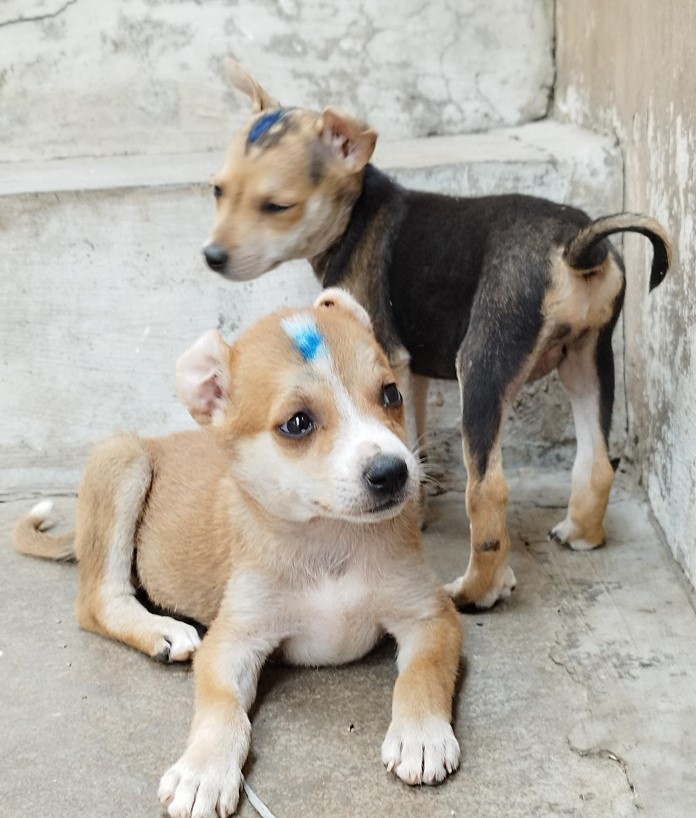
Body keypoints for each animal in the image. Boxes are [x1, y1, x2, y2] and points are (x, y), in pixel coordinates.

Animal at [13, 290, 462, 816]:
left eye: (391, 394)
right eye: (298, 423)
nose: (394, 472)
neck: (329, 541)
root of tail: (155, 441)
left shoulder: (430, 615)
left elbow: (423, 673)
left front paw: (421, 735)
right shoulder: (232, 641)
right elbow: (223, 708)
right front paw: (204, 770)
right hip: (122, 458)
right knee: (96, 601)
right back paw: (161, 631)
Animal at [203, 60, 676, 608]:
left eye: (277, 206)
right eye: (218, 191)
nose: (212, 257)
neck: (357, 214)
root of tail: (576, 244)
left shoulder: (386, 352)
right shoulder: (407, 370)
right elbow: (413, 436)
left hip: (483, 365)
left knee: (488, 490)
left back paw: (477, 590)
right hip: (589, 357)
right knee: (597, 460)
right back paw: (581, 533)